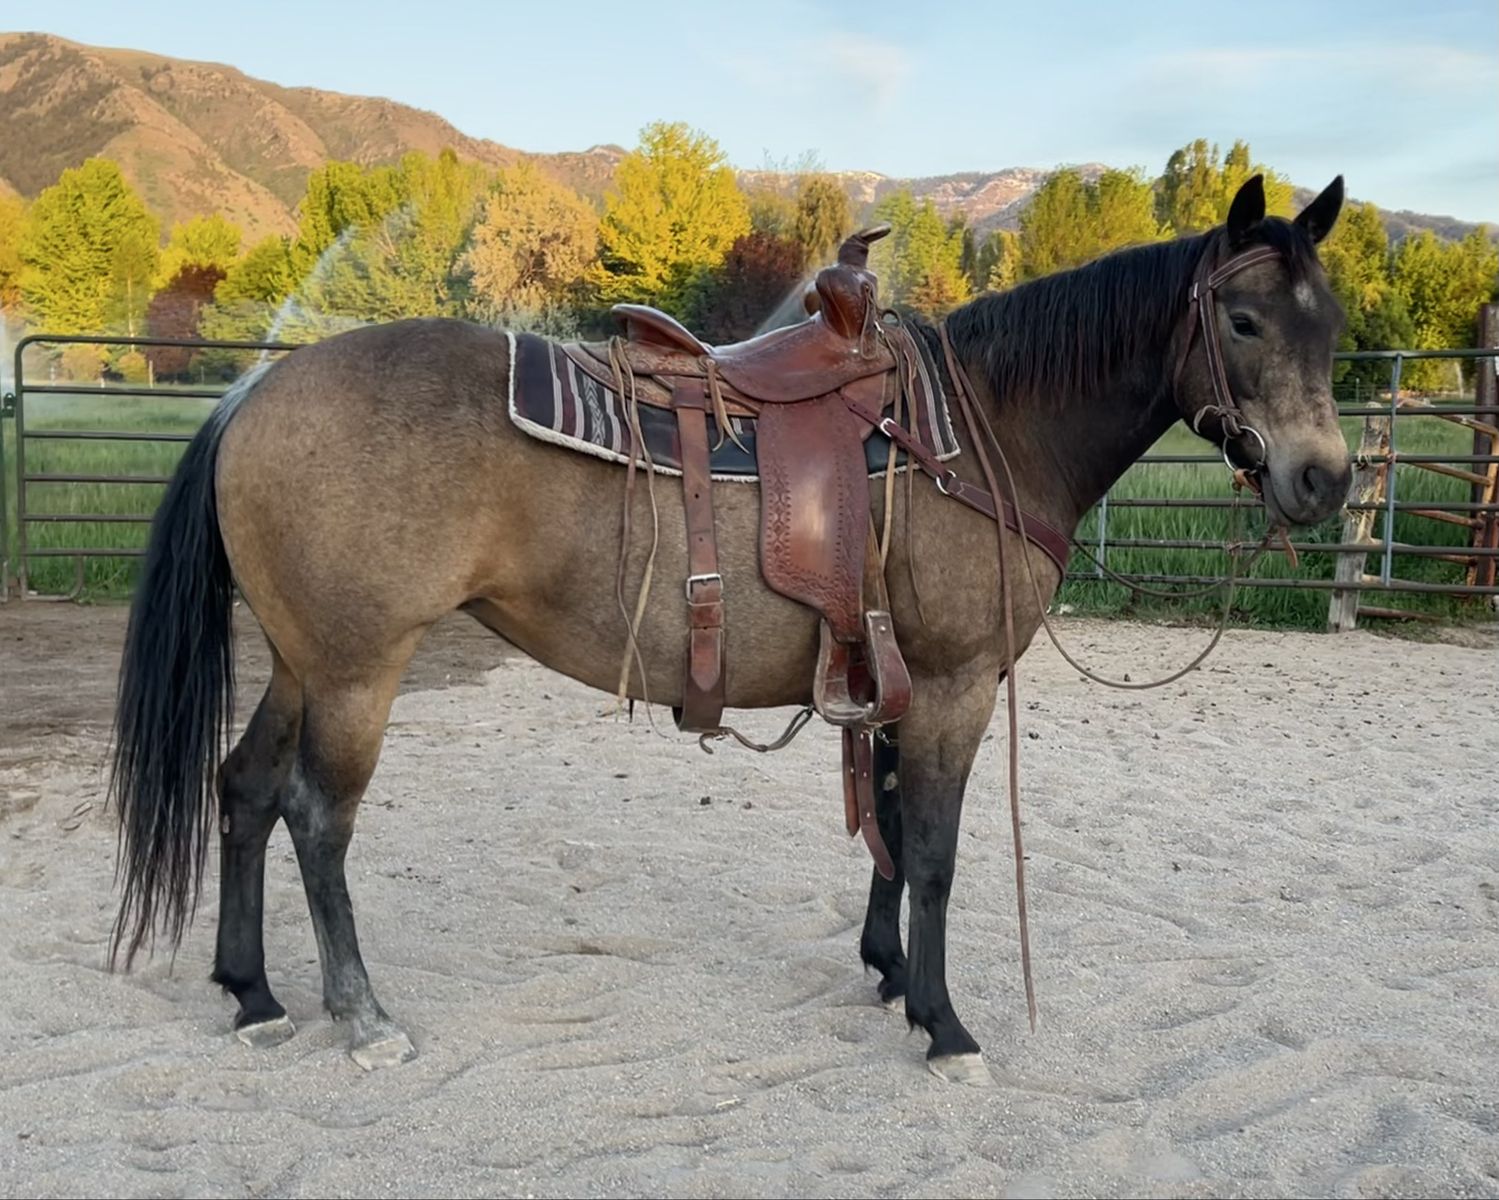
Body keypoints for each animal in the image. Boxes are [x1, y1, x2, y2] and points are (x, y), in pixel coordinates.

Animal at [107, 173, 1351, 1082]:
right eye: (1241, 320)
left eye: (1330, 330)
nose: (1323, 479)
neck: (981, 429)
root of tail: (253, 392)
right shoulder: (952, 685)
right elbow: (935, 852)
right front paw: (944, 1026)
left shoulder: (895, 682)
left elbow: (887, 828)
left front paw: (888, 975)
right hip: (360, 671)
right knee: (317, 820)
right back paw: (361, 1017)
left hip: (304, 661)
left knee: (243, 792)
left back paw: (254, 996)